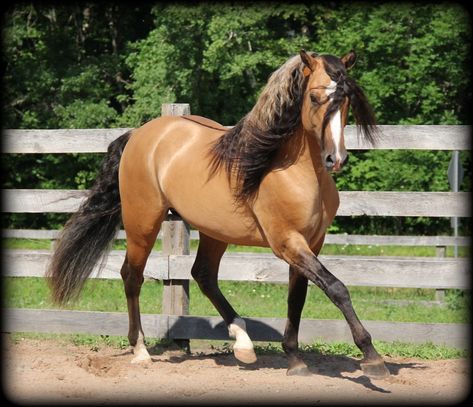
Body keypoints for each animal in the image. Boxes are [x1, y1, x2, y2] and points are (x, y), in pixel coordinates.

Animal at [46, 50, 390, 380]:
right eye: (315, 97)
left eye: (346, 99)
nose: (336, 158)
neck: (290, 171)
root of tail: (139, 134)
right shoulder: (287, 243)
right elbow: (337, 288)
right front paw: (372, 358)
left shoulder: (310, 244)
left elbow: (298, 298)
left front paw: (295, 360)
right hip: (142, 222)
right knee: (132, 276)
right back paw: (141, 350)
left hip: (214, 231)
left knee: (203, 275)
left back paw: (243, 344)